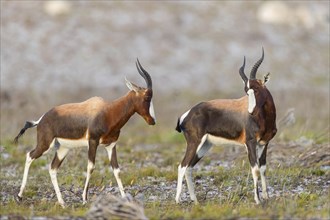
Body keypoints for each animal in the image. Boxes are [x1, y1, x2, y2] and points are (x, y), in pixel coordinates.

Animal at [14, 58, 156, 206]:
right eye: (147, 97)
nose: (152, 120)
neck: (108, 111)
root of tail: (41, 119)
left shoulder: (111, 145)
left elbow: (116, 170)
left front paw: (124, 198)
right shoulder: (93, 142)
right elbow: (91, 167)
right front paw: (84, 199)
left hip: (63, 149)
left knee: (52, 168)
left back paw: (62, 203)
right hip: (45, 145)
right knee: (29, 155)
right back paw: (19, 196)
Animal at [175, 48, 276, 205]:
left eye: (257, 89)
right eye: (246, 91)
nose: (251, 111)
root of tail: (187, 113)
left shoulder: (264, 143)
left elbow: (263, 168)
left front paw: (266, 197)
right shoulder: (250, 143)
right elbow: (255, 169)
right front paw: (258, 200)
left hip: (205, 145)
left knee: (189, 167)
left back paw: (195, 200)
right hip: (194, 143)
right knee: (182, 166)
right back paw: (178, 200)